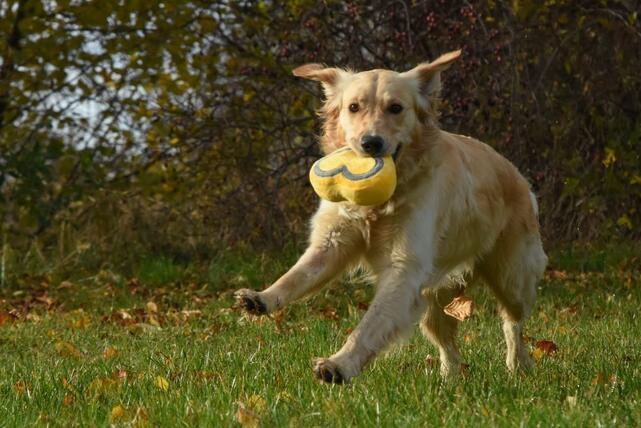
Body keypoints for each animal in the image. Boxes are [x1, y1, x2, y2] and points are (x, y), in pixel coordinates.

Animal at [234, 51, 544, 384]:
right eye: (353, 107)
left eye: (395, 108)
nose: (371, 142)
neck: (381, 203)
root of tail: (518, 176)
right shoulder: (332, 244)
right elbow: (296, 276)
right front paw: (261, 298)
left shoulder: (403, 269)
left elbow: (370, 324)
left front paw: (340, 365)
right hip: (437, 297)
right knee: (446, 339)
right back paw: (449, 380)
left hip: (511, 277)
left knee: (513, 323)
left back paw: (518, 365)